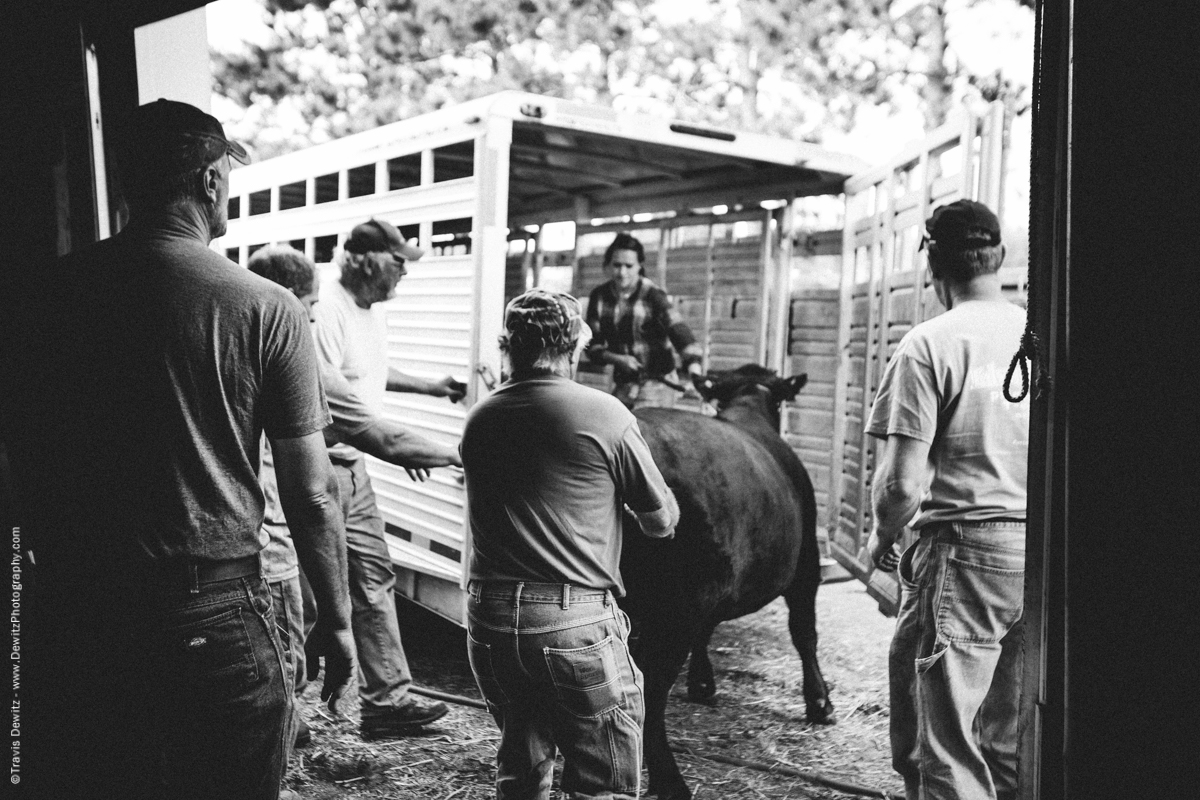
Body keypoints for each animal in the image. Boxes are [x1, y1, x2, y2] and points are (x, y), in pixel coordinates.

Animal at [619, 364, 835, 800]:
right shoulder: (806, 566)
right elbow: (805, 632)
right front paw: (819, 700)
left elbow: (708, 631)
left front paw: (702, 682)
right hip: (674, 607)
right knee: (649, 688)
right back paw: (670, 781)